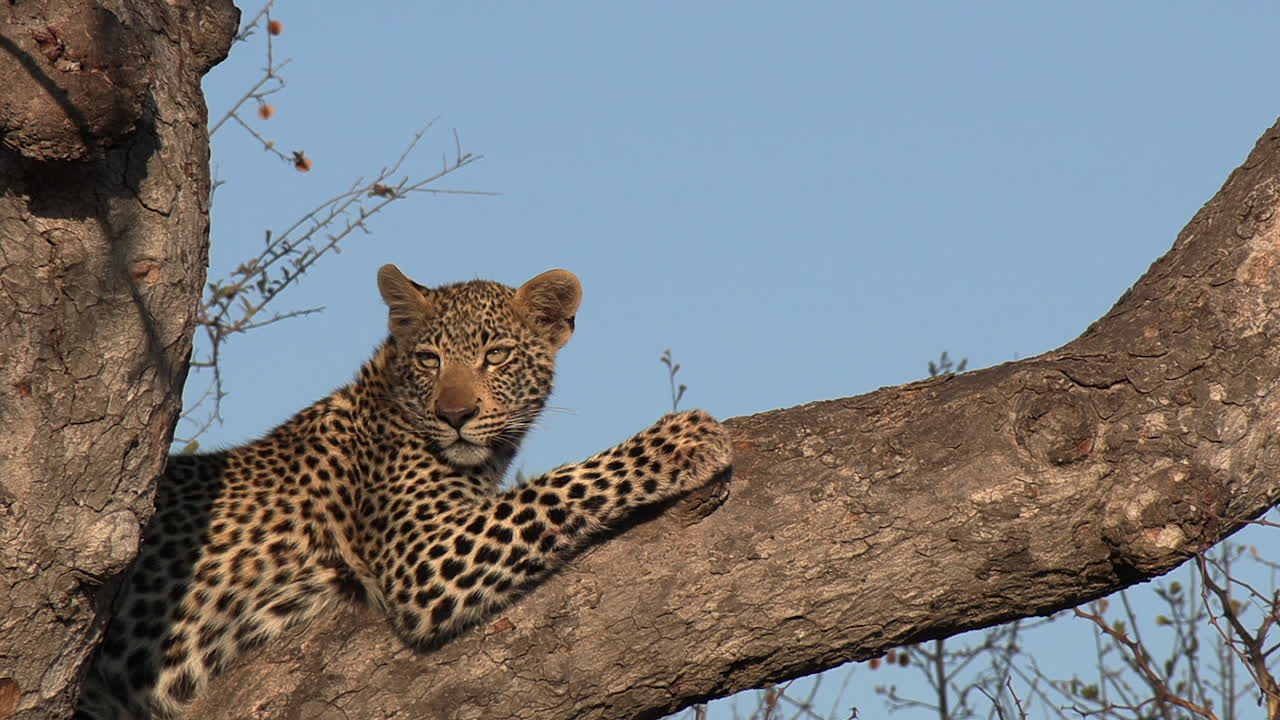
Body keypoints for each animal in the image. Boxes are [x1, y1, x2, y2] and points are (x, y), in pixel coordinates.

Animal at [75, 264, 733, 719]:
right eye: (429, 358)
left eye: (497, 355)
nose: (456, 415)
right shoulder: (422, 557)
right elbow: (552, 488)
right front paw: (681, 440)